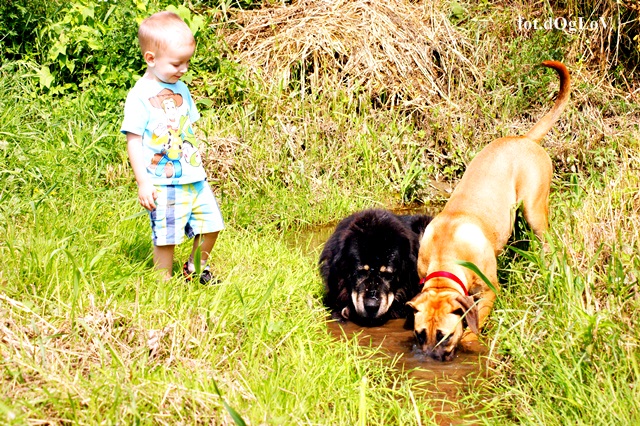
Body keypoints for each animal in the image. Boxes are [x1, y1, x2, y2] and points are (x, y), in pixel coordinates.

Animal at [407, 61, 571, 361]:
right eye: (419, 334)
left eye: (445, 336)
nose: (429, 360)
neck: (446, 253)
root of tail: (525, 139)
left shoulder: (488, 292)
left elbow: (475, 324)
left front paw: (471, 341)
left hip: (534, 209)